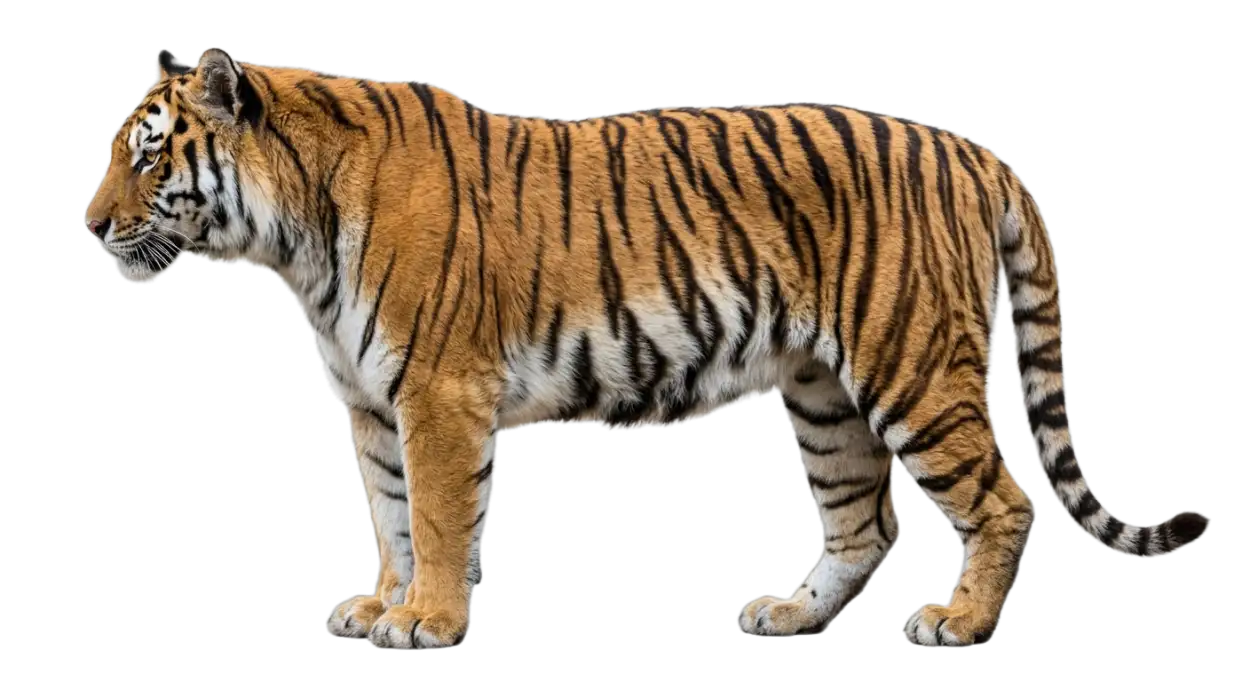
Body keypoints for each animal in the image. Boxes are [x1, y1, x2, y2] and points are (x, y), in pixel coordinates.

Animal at [84, 46, 1211, 650]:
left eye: (148, 157)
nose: (89, 227)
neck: (293, 241)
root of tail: (977, 151)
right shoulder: (370, 405)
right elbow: (393, 519)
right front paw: (384, 603)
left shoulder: (436, 396)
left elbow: (439, 521)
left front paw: (430, 620)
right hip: (823, 396)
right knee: (866, 522)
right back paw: (789, 614)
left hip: (914, 369)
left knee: (1004, 499)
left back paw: (958, 624)